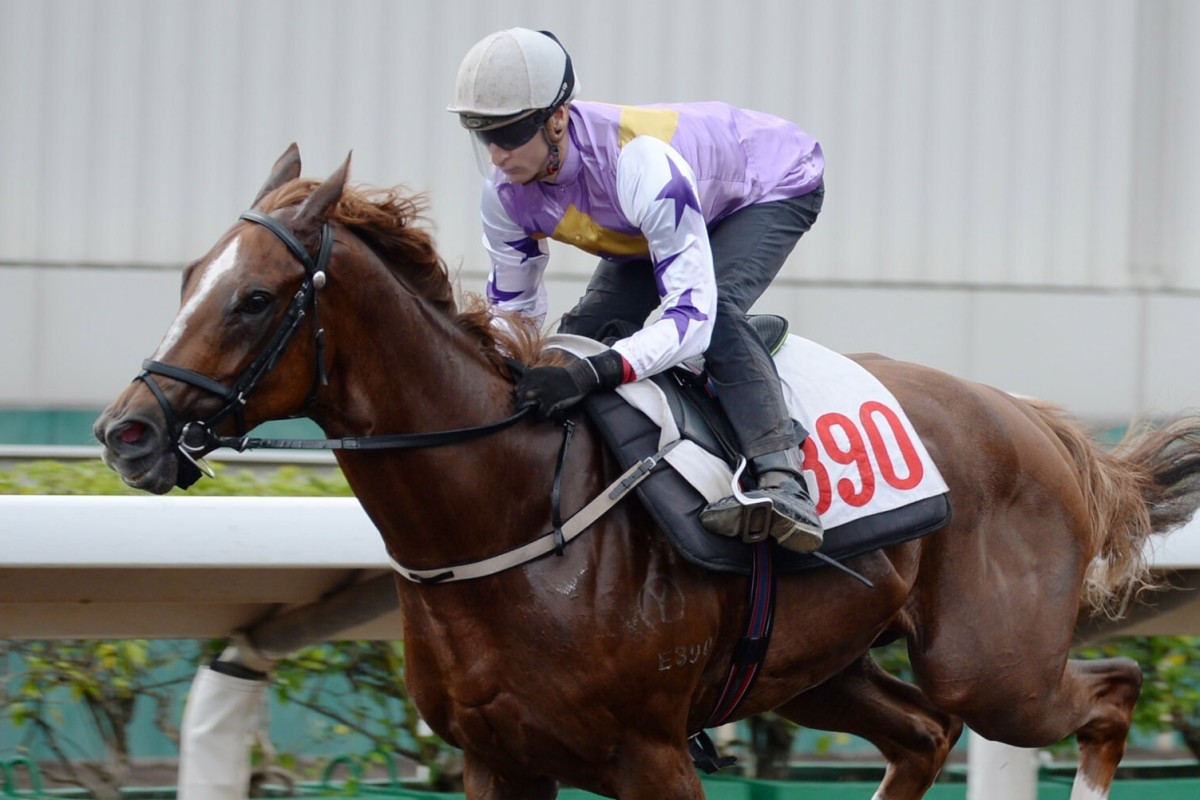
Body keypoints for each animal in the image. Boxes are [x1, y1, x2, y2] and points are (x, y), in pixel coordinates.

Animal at [96, 146, 1200, 796]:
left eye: (254, 298)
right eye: (188, 278)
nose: (127, 434)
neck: (506, 511)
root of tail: (1040, 426)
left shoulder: (652, 755)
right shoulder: (496, 761)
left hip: (994, 662)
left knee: (1109, 690)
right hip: (821, 666)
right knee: (926, 734)